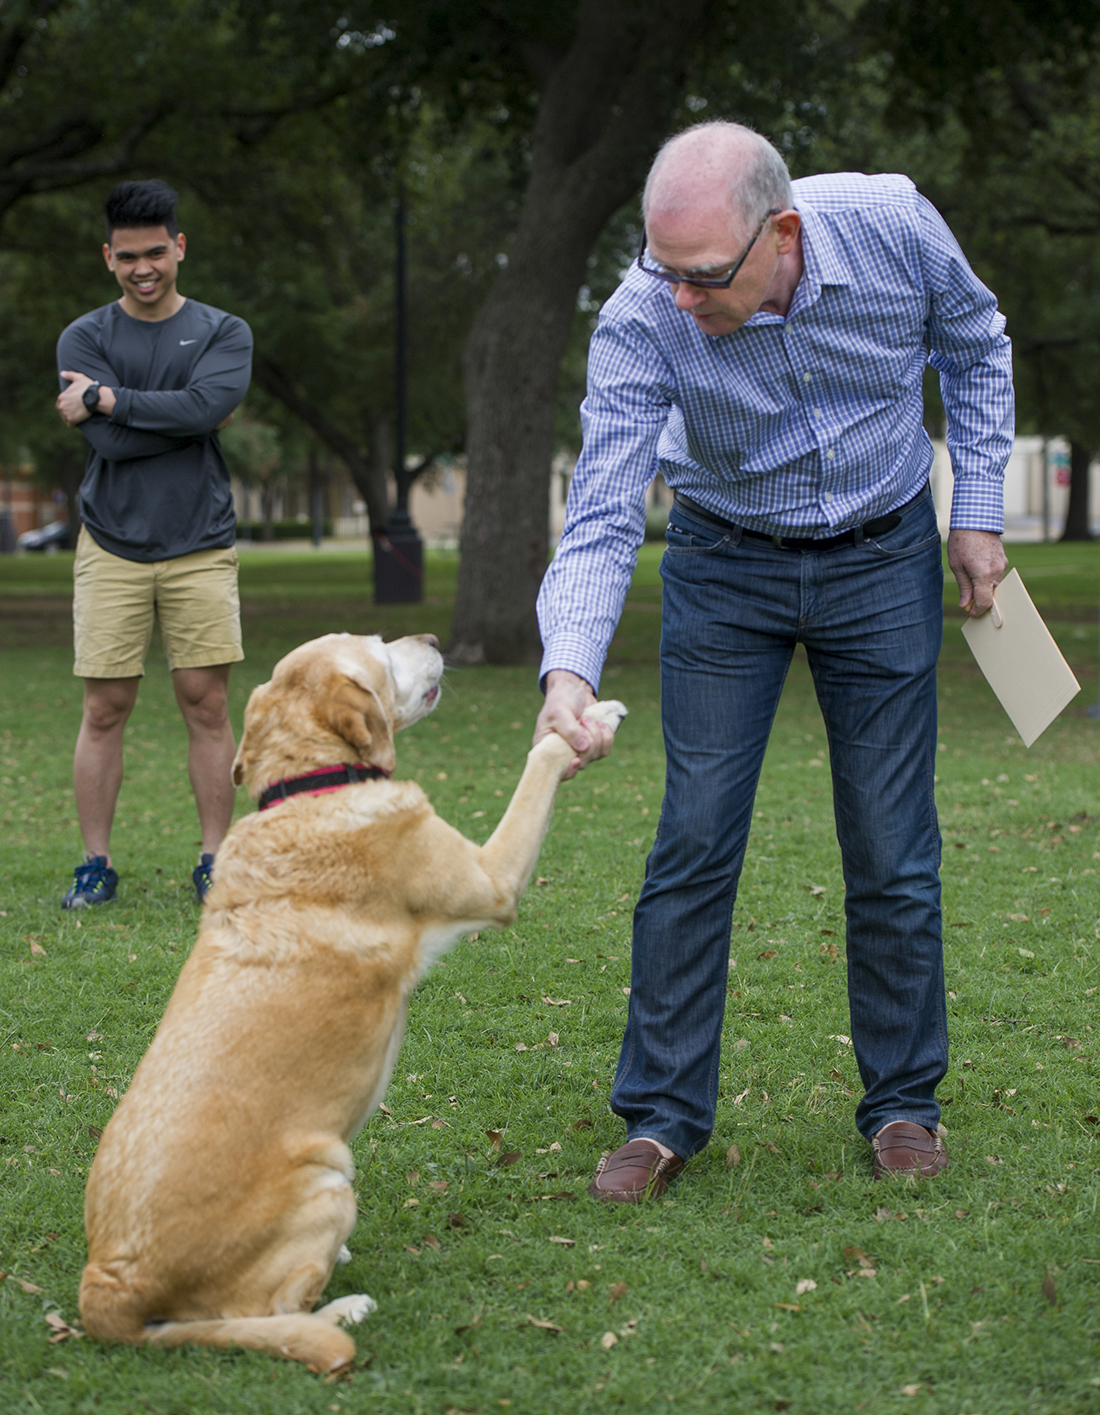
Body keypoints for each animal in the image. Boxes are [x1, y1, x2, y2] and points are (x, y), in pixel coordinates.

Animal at [78, 631, 625, 1369]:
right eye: (378, 648)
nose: (431, 638)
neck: (311, 787)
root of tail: (108, 1284)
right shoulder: (492, 878)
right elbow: (538, 764)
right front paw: (588, 721)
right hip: (330, 1173)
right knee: (273, 1310)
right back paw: (344, 1306)